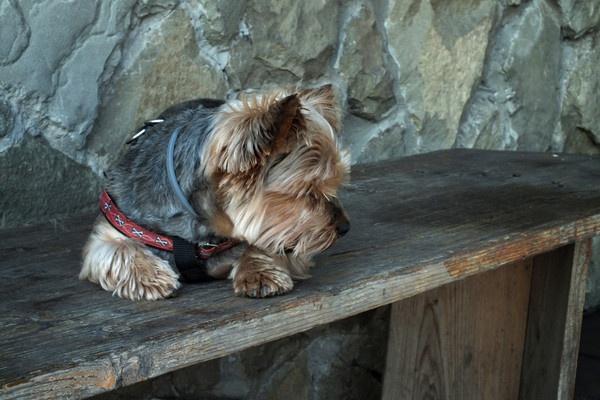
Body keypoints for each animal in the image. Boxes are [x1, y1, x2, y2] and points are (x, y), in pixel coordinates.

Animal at [80, 84, 352, 298]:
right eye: (308, 191)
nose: (345, 227)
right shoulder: (111, 229)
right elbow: (119, 249)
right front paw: (150, 276)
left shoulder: (280, 233)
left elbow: (262, 243)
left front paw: (259, 273)